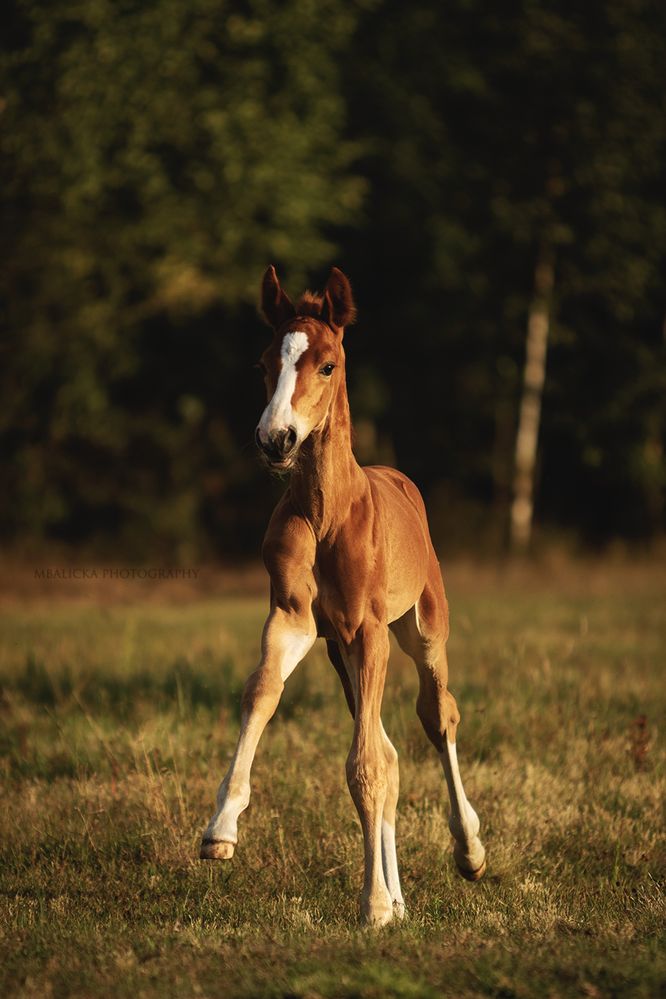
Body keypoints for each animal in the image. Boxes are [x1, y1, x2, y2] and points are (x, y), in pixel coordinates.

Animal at [200, 268, 486, 928]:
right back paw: (401, 898)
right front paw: (221, 828)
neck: (326, 512)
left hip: (422, 628)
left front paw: (374, 903)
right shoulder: (295, 622)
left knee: (436, 715)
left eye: (327, 364)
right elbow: (262, 693)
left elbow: (366, 764)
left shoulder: (370, 631)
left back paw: (468, 850)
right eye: (263, 364)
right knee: (389, 749)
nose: (275, 439)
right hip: (340, 656)